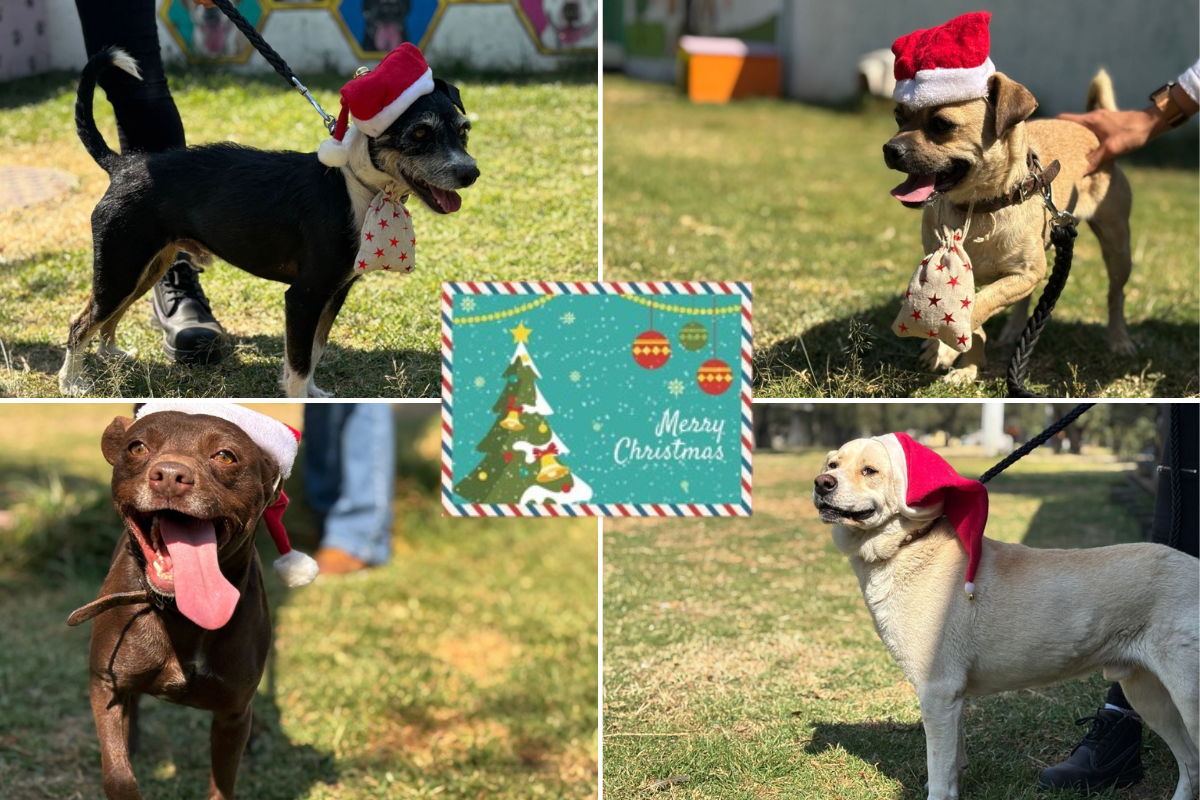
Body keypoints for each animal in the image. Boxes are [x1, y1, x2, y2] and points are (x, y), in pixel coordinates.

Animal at [58, 47, 475, 398]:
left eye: (463, 130)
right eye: (419, 132)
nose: (471, 173)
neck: (356, 187)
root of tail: (122, 166)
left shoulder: (334, 293)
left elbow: (313, 352)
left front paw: (313, 394)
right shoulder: (304, 296)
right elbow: (299, 362)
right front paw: (299, 399)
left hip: (145, 268)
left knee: (107, 317)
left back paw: (111, 354)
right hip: (121, 267)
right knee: (80, 324)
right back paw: (72, 384)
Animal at [68, 407, 316, 800]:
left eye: (225, 456)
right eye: (137, 447)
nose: (170, 475)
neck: (181, 613)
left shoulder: (232, 715)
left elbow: (222, 783)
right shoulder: (105, 686)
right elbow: (118, 774)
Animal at [811, 438, 1195, 800]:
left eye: (870, 470)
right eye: (833, 464)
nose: (821, 483)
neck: (910, 543)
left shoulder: (937, 690)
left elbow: (939, 768)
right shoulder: (951, 698)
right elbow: (953, 760)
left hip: (1187, 696)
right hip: (1147, 694)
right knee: (1191, 761)